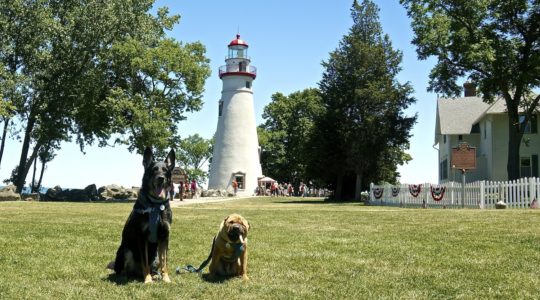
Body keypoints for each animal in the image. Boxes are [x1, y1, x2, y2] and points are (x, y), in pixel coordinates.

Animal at [109, 148, 175, 284]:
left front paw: (166, 278)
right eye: (154, 169)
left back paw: (155, 275)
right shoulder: (142, 237)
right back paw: (126, 276)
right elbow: (145, 261)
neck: (155, 204)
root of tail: (136, 273)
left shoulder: (165, 237)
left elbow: (164, 262)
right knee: (123, 270)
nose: (161, 178)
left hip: (155, 256)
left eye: (165, 170)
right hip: (126, 250)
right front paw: (148, 280)